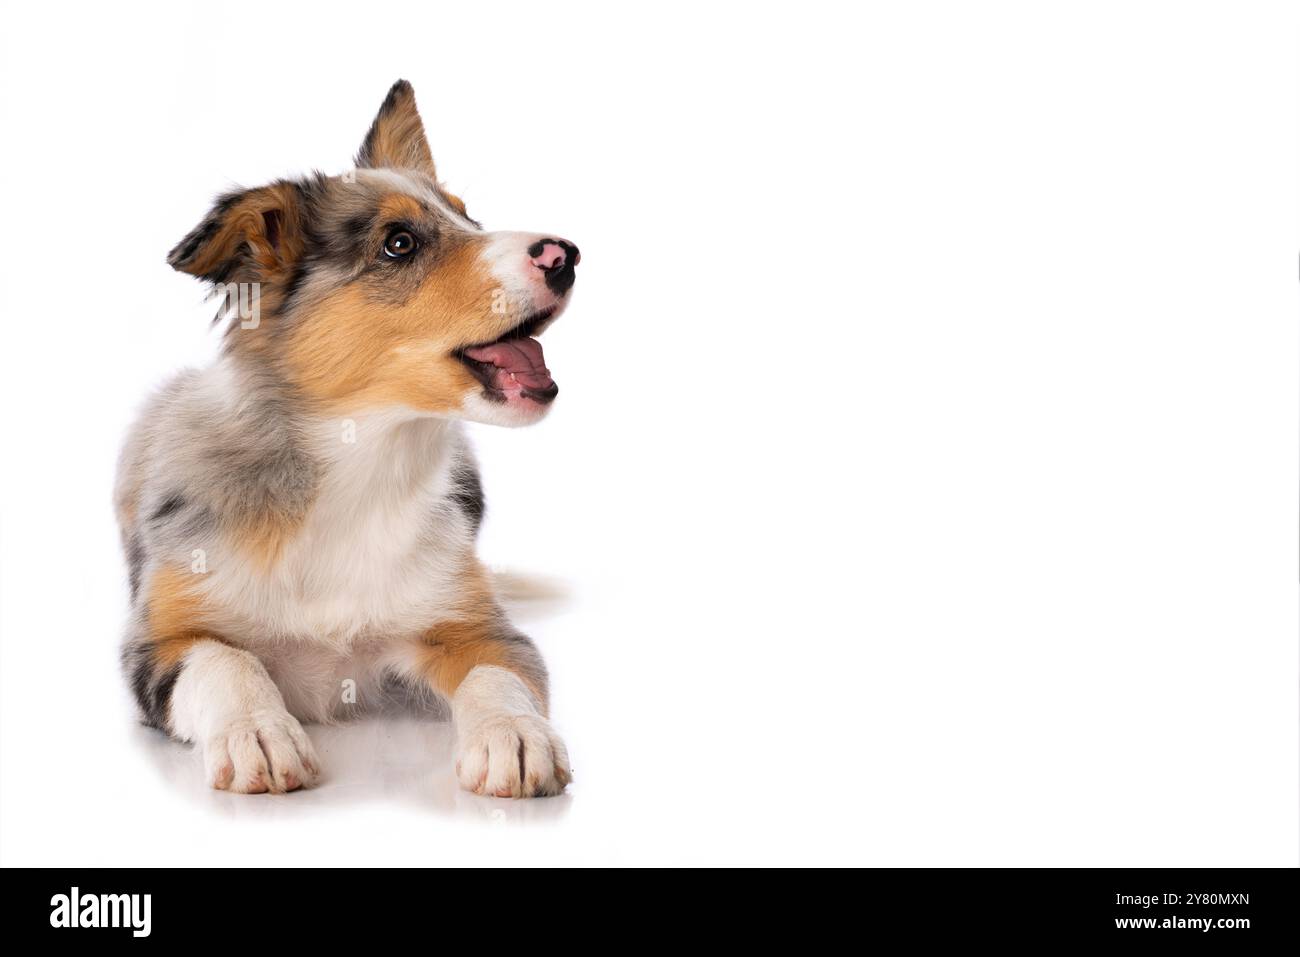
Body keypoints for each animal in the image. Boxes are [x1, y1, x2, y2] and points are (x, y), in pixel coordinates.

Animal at [116, 82, 579, 795]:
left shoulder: (477, 626)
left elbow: (496, 674)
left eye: (470, 218)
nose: (567, 255)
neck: (363, 464)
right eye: (399, 243)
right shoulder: (159, 643)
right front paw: (259, 732)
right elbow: (224, 661)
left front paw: (515, 735)